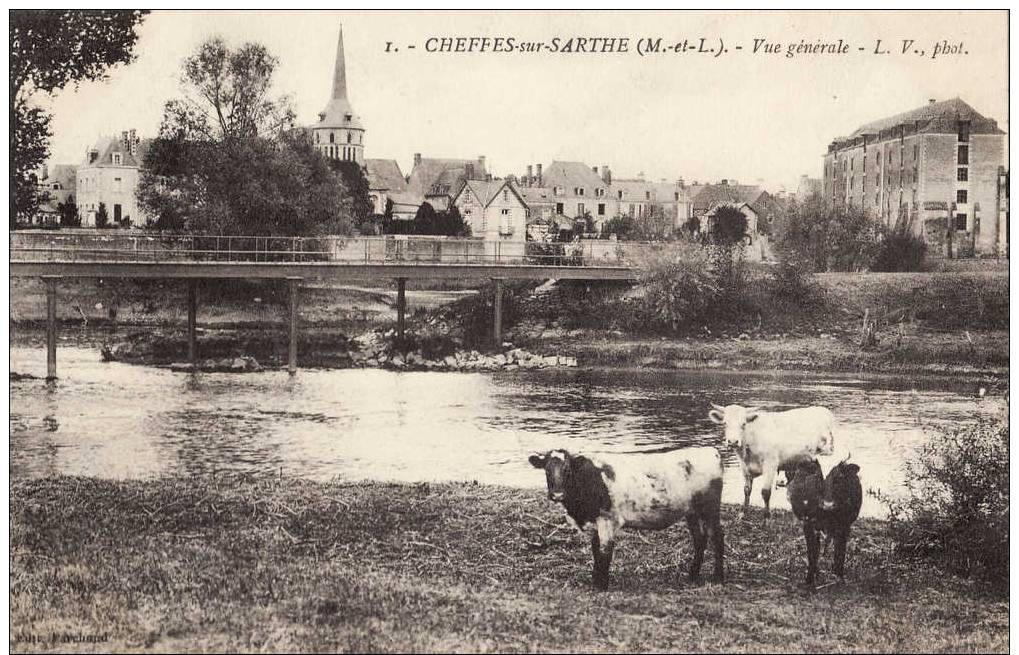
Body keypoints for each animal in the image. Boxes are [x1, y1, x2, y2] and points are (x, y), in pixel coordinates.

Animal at [525, 448, 725, 590]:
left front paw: (601, 585)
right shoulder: (595, 522)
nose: (557, 494)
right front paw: (595, 581)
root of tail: (711, 451)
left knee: (717, 537)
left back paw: (718, 577)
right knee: (700, 539)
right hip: (691, 512)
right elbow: (595, 550)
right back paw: (693, 575)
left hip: (710, 509)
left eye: (567, 470)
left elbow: (605, 553)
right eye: (547, 470)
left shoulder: (607, 520)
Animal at [786, 456, 860, 590]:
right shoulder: (808, 524)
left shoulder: (845, 526)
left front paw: (839, 577)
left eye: (839, 477)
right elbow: (812, 551)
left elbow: (840, 551)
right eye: (817, 475)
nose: (828, 504)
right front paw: (809, 579)